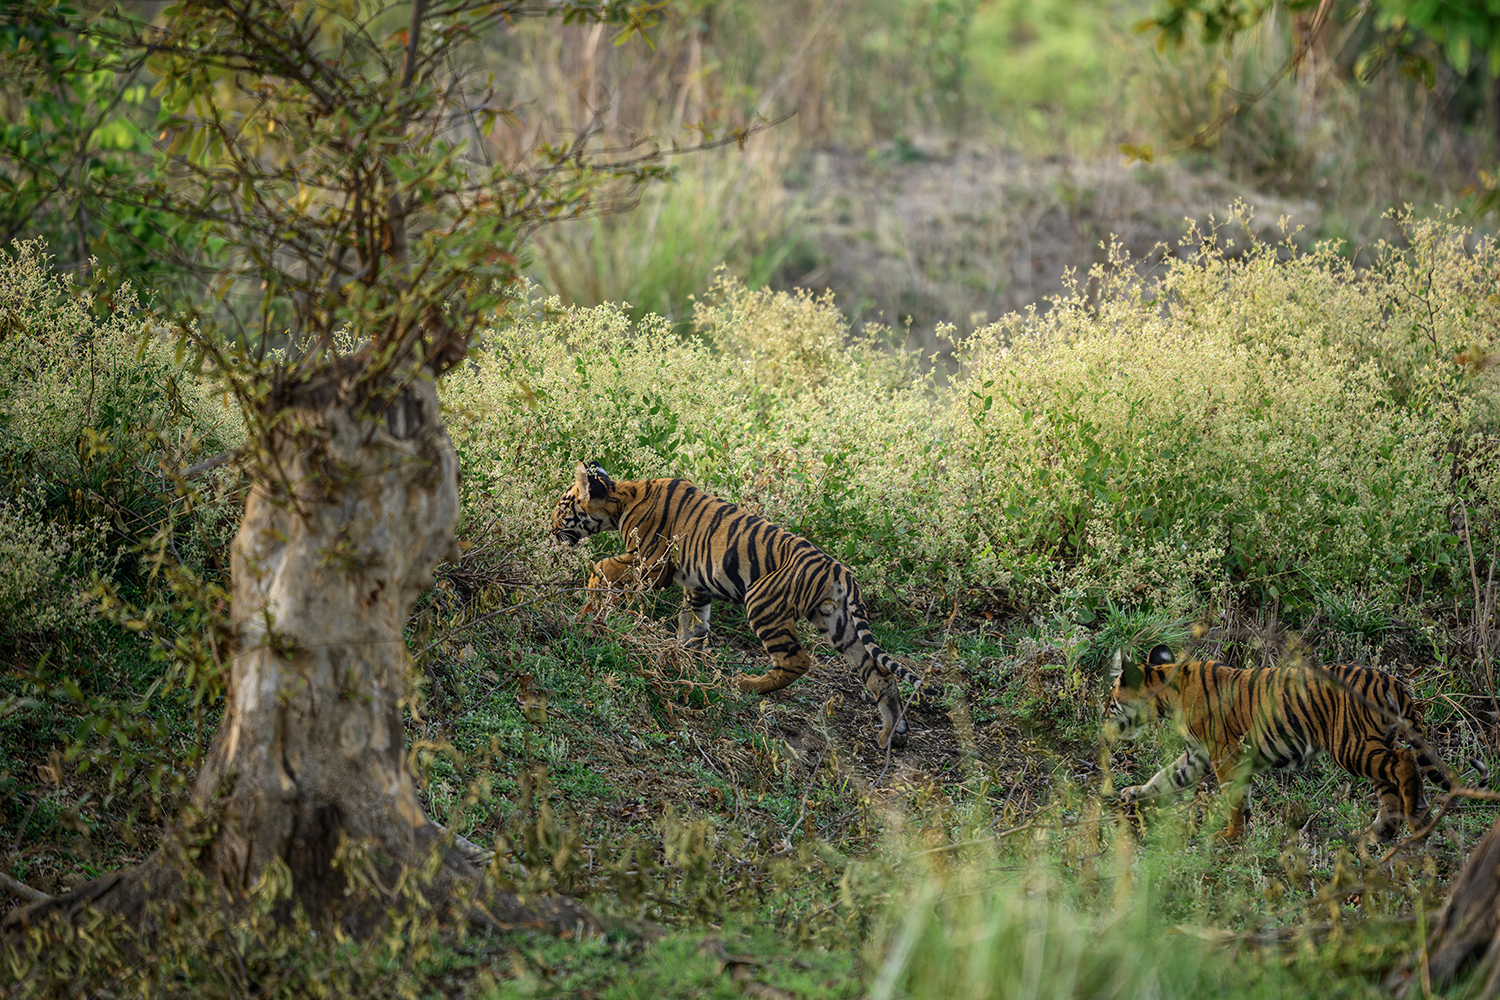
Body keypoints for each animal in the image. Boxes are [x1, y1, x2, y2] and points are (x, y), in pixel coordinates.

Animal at [551, 462, 924, 749]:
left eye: (562, 506)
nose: (550, 528)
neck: (622, 498)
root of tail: (842, 571)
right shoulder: (696, 586)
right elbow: (693, 625)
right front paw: (682, 661)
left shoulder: (649, 564)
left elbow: (600, 570)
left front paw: (587, 615)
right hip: (840, 624)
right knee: (881, 676)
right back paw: (893, 734)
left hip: (762, 603)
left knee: (798, 660)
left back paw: (746, 684)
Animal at [1102, 644, 1452, 840]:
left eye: (1110, 701)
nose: (1101, 720)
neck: (1167, 692)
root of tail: (1391, 680)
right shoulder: (1196, 755)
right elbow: (1164, 778)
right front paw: (1134, 794)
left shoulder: (1225, 754)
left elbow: (1233, 799)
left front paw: (1230, 836)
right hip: (1368, 748)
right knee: (1391, 788)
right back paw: (1376, 836)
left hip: (1351, 747)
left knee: (1405, 762)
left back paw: (1415, 824)